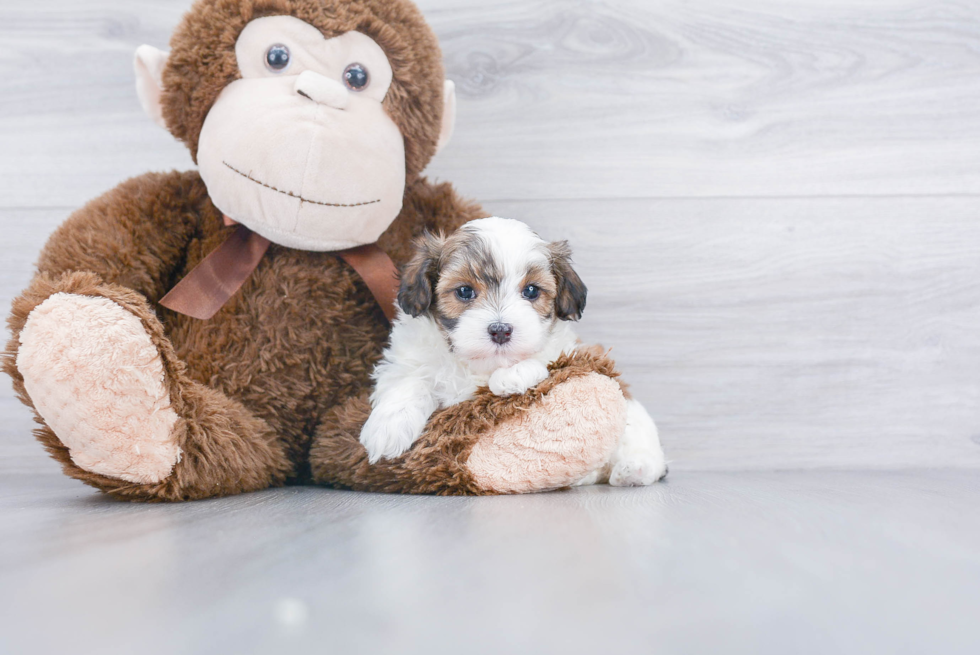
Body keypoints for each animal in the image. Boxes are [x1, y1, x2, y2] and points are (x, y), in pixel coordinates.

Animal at [358, 218, 668, 484]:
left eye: (531, 291)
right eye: (464, 292)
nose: (500, 330)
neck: (477, 365)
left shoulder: (565, 350)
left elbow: (545, 359)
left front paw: (512, 375)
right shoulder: (405, 359)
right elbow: (408, 381)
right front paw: (388, 429)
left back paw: (634, 468)